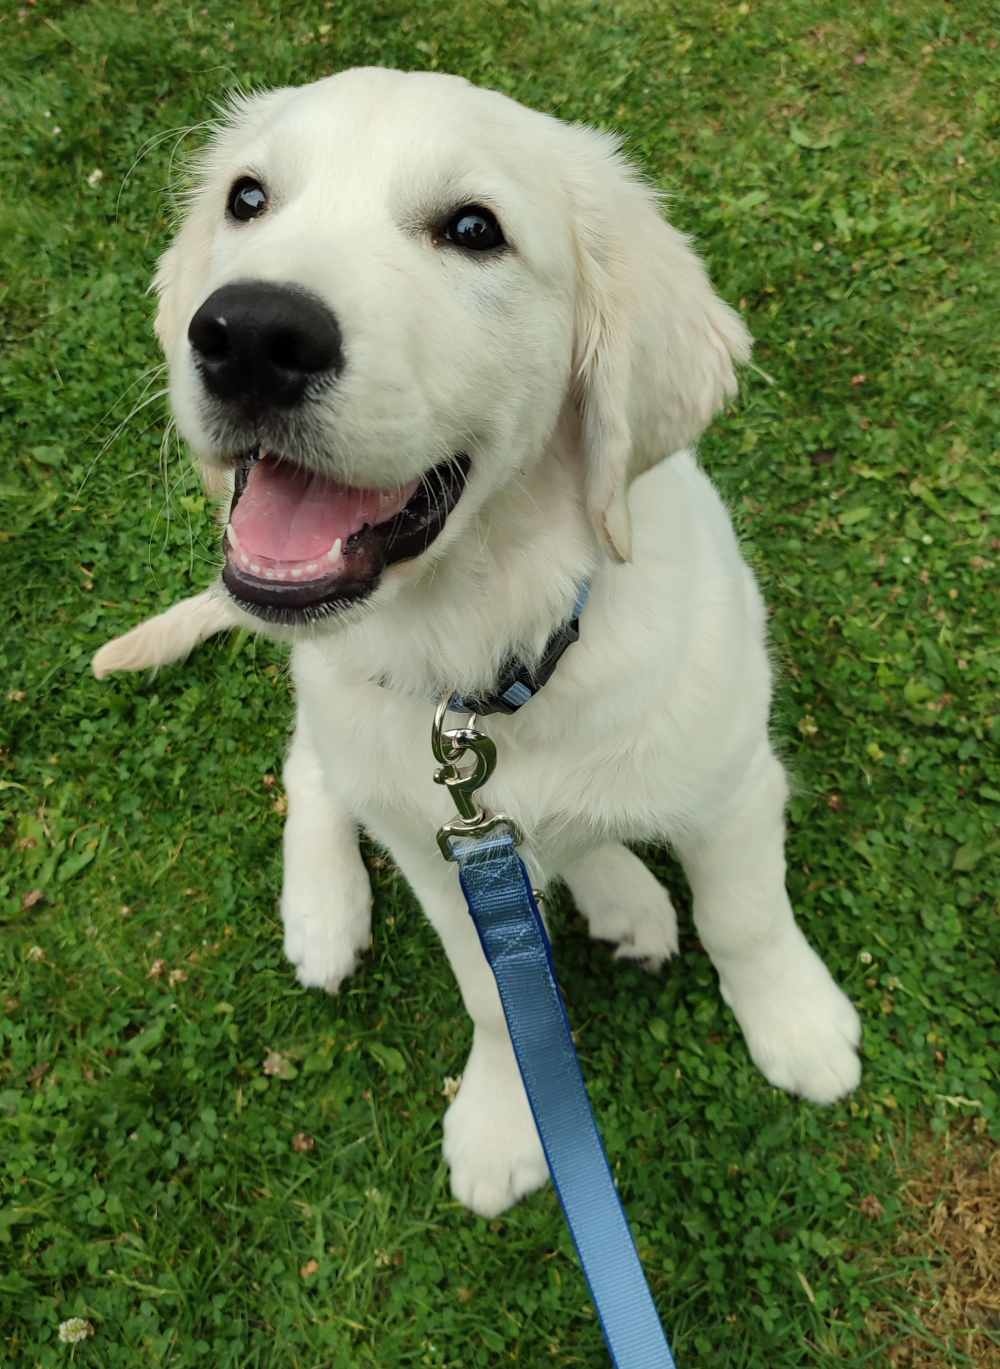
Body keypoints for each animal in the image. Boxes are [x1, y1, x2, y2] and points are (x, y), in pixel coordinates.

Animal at [95, 67, 861, 1218]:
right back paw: (325, 910)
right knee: (312, 768)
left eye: (473, 229)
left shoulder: (733, 781)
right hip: (341, 716)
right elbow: (497, 994)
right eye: (247, 199)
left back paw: (621, 894)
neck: (490, 664)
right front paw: (506, 1119)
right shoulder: (440, 850)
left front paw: (797, 1023)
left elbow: (746, 917)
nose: (248, 334)